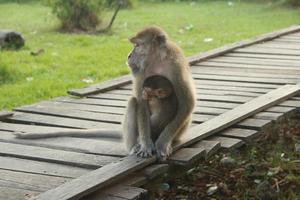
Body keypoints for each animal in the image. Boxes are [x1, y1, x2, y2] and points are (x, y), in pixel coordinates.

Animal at [15, 25, 197, 159]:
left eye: (137, 45)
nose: (129, 55)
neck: (157, 60)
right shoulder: (140, 72)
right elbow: (141, 101)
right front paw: (145, 143)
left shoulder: (175, 64)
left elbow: (187, 103)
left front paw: (162, 143)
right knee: (133, 102)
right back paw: (136, 144)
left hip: (181, 131)